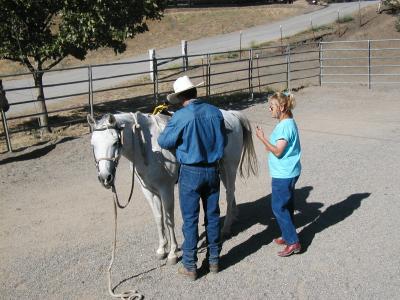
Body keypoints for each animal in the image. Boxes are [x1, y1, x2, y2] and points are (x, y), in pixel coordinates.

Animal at [88, 110, 258, 264]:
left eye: (115, 142)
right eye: (93, 145)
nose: (105, 177)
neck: (148, 148)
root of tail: (232, 114)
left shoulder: (166, 189)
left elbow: (169, 220)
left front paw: (172, 253)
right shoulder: (148, 191)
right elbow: (159, 218)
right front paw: (161, 249)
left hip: (230, 167)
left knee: (229, 194)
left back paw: (226, 228)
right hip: (221, 168)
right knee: (231, 191)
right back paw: (234, 217)